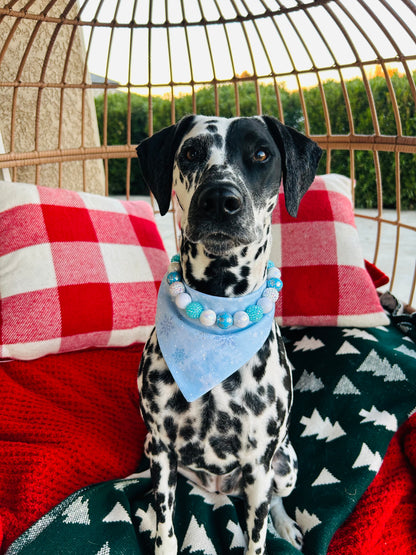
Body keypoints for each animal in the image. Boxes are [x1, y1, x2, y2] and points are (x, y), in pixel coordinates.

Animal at [136, 115, 322, 552]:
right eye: (190, 152)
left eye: (262, 154)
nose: (220, 198)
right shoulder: (162, 450)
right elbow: (166, 529)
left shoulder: (259, 464)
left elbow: (257, 534)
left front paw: (271, 530)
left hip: (284, 465)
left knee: (275, 500)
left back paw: (286, 525)